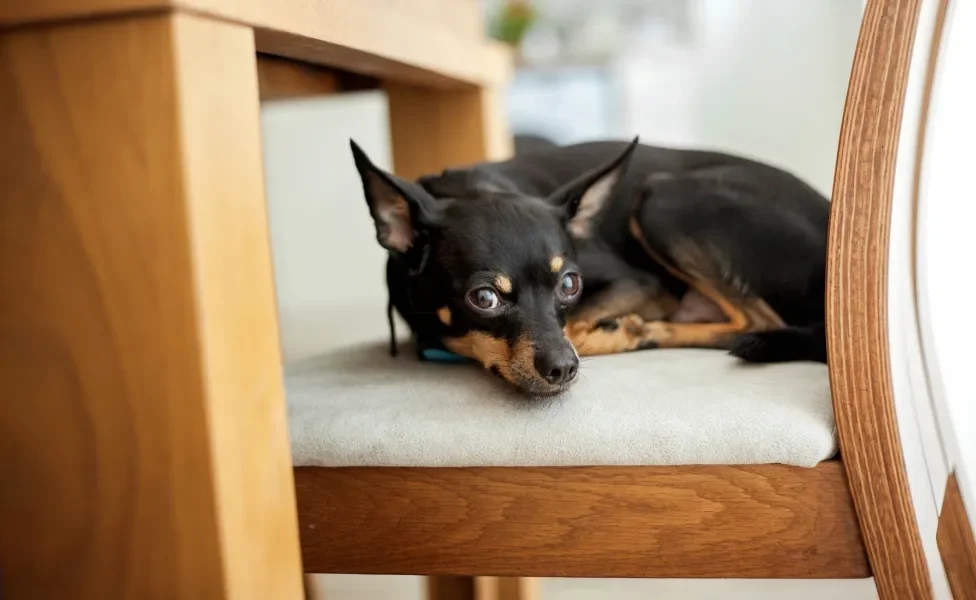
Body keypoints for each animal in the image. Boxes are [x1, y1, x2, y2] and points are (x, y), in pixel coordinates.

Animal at [346, 138, 828, 396]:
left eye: (569, 285)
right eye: (483, 298)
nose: (562, 369)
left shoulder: (645, 285)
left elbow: (575, 326)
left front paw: (615, 332)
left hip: (662, 198)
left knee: (757, 320)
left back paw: (644, 331)